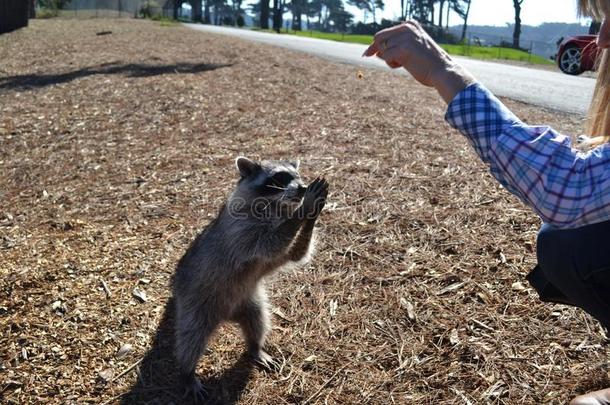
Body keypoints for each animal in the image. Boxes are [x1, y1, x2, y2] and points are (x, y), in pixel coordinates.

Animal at [171, 156, 328, 400]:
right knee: (191, 338)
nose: (303, 188)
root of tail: (227, 316)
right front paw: (305, 208)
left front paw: (311, 215)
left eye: (298, 176)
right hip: (196, 304)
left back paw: (256, 347)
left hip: (249, 300)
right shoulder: (240, 229)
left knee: (258, 320)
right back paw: (187, 372)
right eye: (280, 178)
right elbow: (271, 242)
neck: (274, 205)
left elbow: (295, 253)